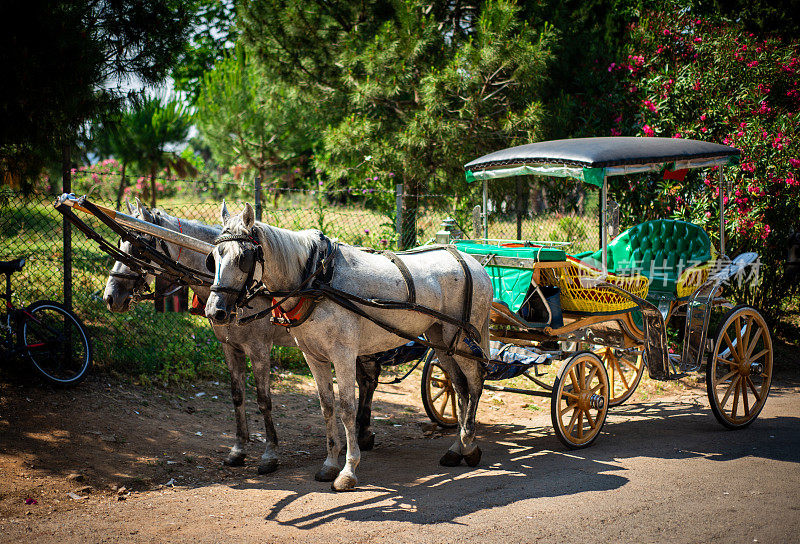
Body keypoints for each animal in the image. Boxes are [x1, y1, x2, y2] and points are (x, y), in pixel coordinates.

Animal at [103, 201, 384, 476]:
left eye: (139, 248)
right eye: (121, 243)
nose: (110, 297)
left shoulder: (259, 348)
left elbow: (263, 399)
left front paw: (270, 455)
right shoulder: (230, 347)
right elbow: (237, 396)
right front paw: (238, 450)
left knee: (368, 379)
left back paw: (362, 433)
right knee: (366, 380)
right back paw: (361, 433)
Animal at [205, 202, 494, 490]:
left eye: (243, 258)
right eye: (213, 259)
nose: (214, 311)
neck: (317, 279)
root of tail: (473, 263)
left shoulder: (342, 354)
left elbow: (346, 408)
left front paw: (348, 470)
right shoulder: (313, 356)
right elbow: (327, 406)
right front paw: (330, 463)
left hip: (463, 338)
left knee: (475, 382)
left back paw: (469, 446)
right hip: (441, 340)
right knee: (459, 387)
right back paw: (456, 449)